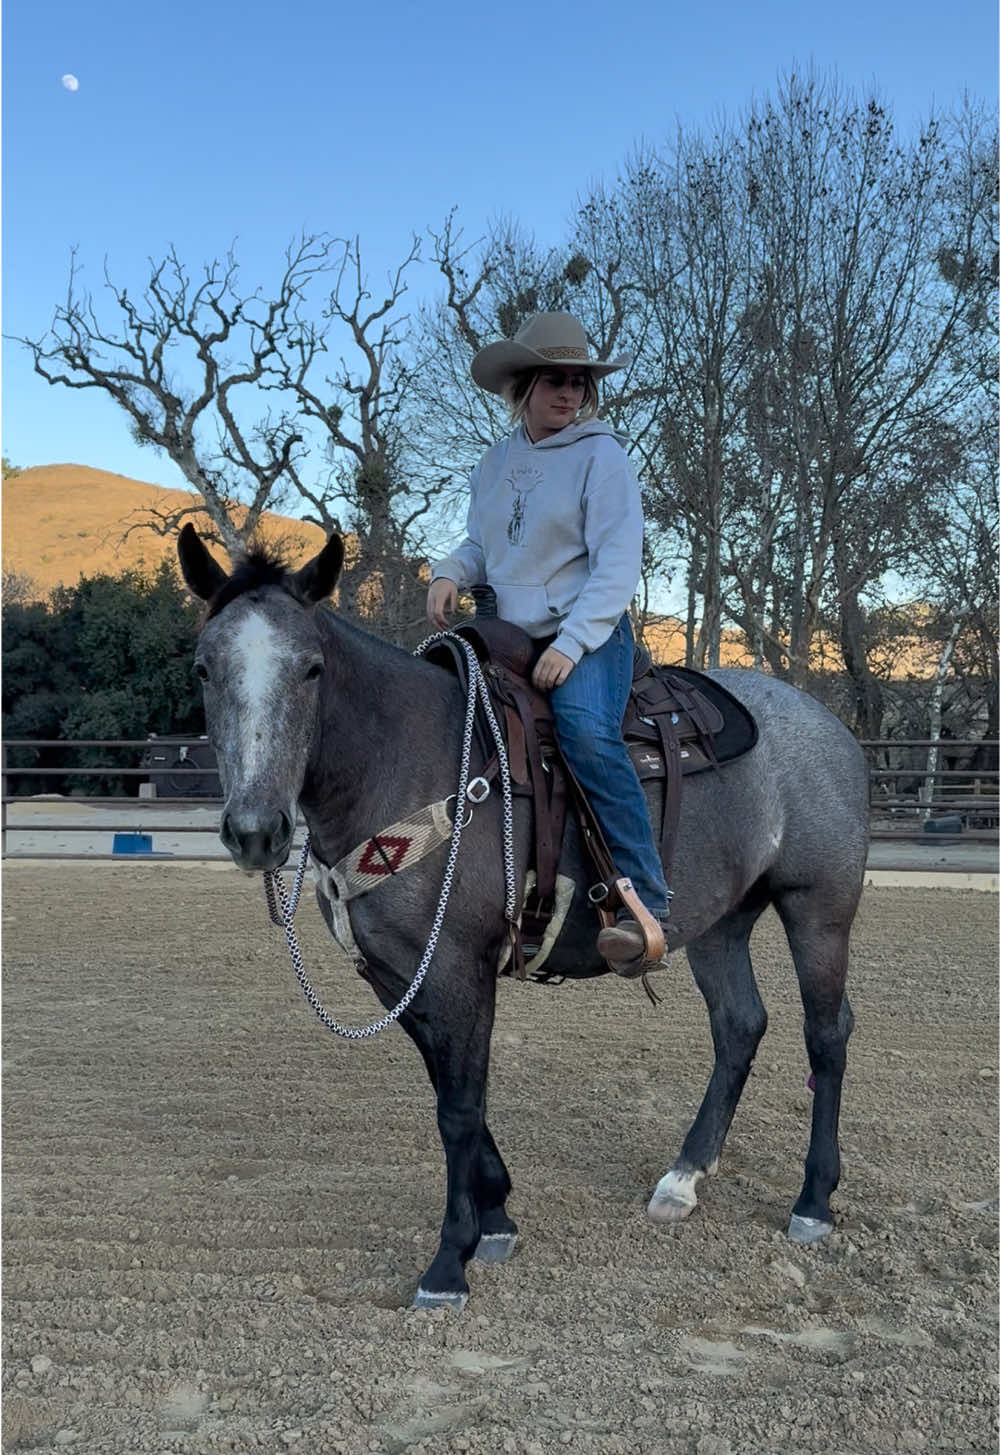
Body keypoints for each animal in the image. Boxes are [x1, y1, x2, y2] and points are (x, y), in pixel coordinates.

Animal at [177, 524, 870, 1310]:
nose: (256, 831)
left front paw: (449, 1262)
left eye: (312, 668)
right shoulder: (397, 974)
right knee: (739, 1025)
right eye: (203, 668)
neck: (399, 760)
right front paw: (498, 1215)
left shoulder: (456, 967)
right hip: (720, 924)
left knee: (826, 1035)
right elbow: (454, 1092)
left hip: (818, 907)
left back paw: (812, 1200)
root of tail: (829, 724)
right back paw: (683, 1178)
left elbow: (458, 1106)